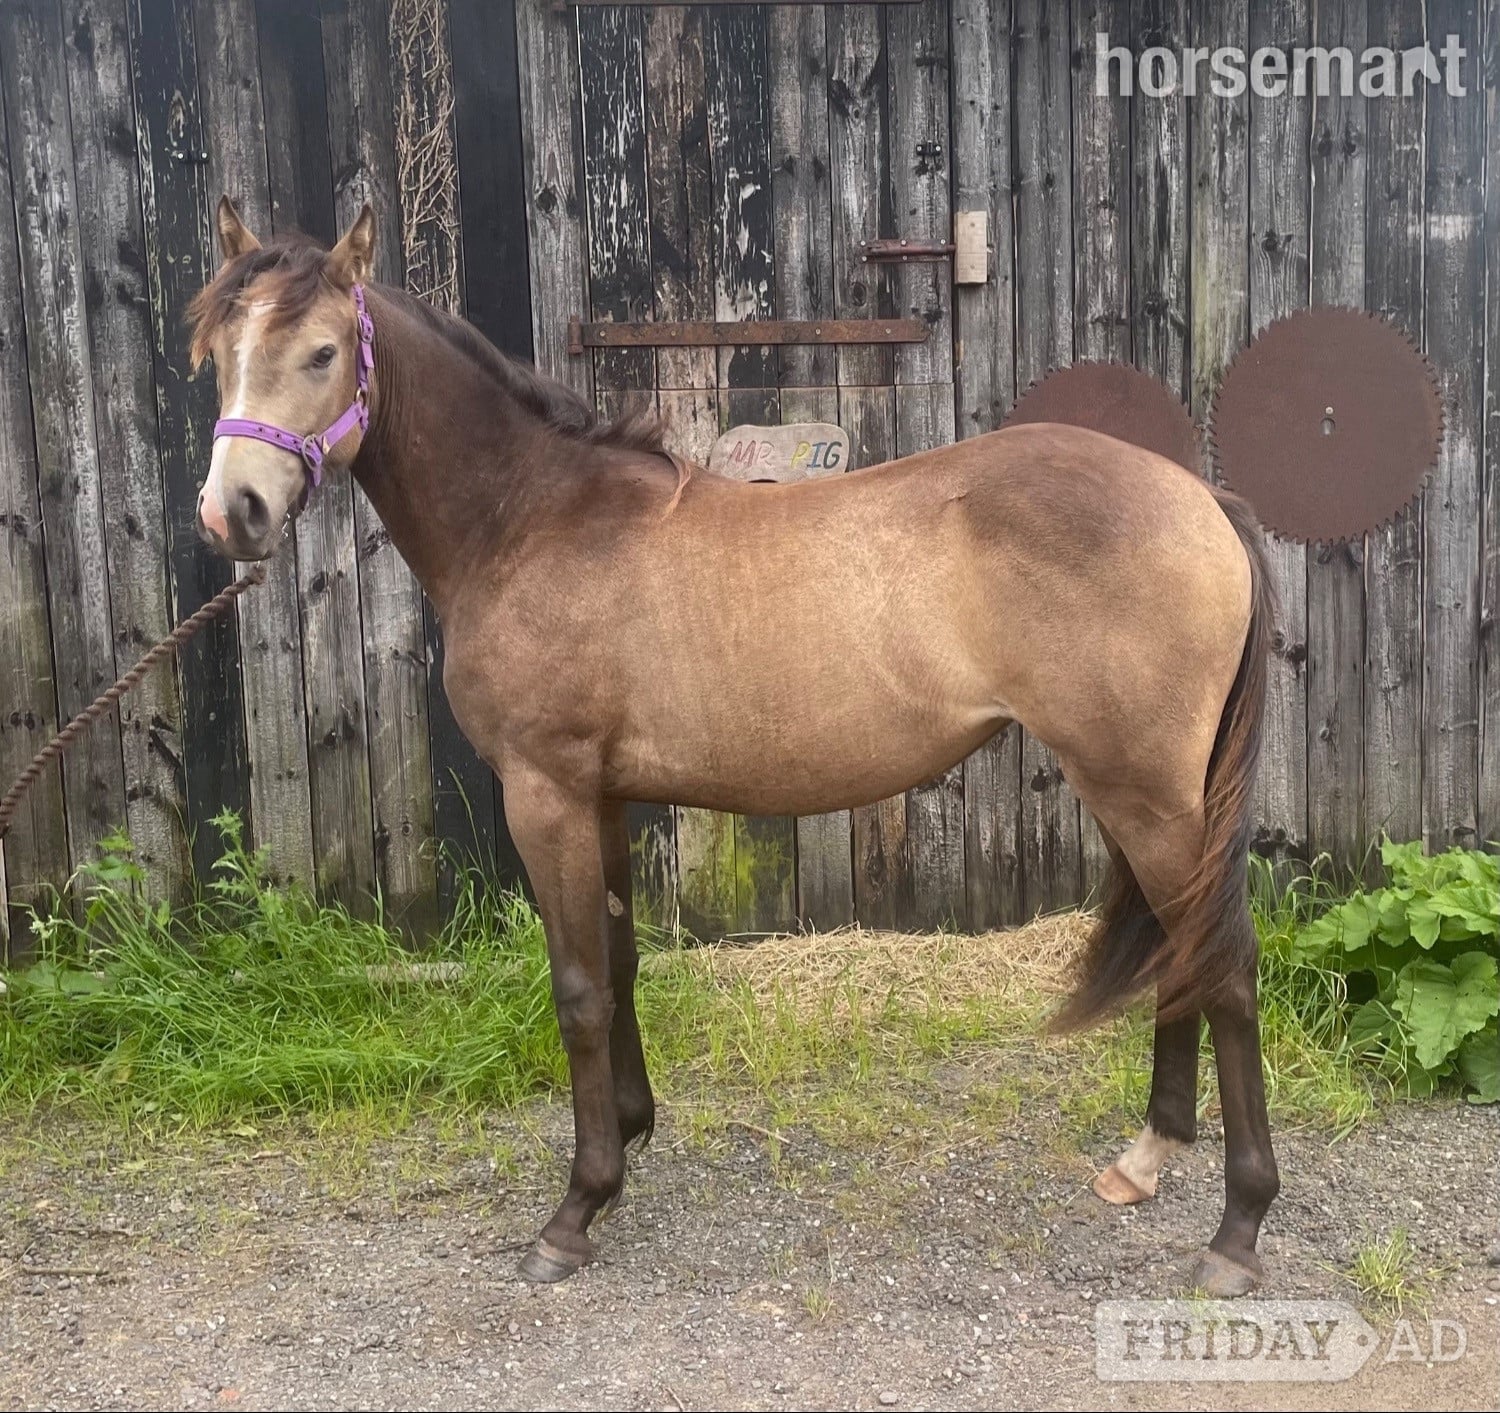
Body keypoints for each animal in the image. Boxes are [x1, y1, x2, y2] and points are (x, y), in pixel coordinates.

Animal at [190, 198, 1280, 1297]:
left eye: (323, 351)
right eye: (221, 353)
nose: (232, 512)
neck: (532, 520)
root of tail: (1202, 503)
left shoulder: (545, 792)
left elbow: (577, 988)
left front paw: (575, 1211)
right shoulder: (602, 796)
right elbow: (620, 963)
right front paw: (629, 1137)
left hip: (1147, 794)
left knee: (1225, 966)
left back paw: (1236, 1230)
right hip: (1139, 795)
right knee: (1183, 950)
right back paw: (1144, 1160)